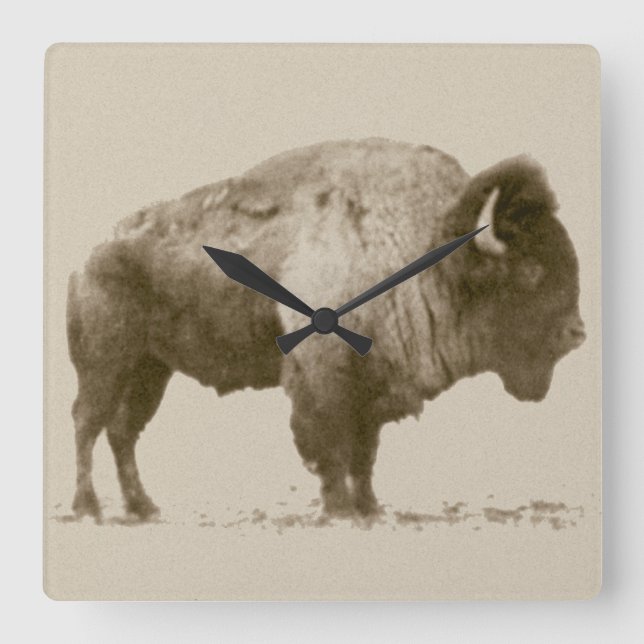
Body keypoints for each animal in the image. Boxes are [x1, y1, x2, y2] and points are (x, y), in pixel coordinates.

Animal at [67, 138, 585, 521]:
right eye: (531, 271)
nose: (577, 333)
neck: (422, 247)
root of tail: (90, 256)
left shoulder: (371, 389)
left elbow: (364, 453)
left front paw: (370, 508)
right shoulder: (324, 382)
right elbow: (331, 446)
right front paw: (340, 510)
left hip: (150, 370)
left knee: (122, 432)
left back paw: (143, 507)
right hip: (106, 365)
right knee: (88, 423)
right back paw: (89, 507)